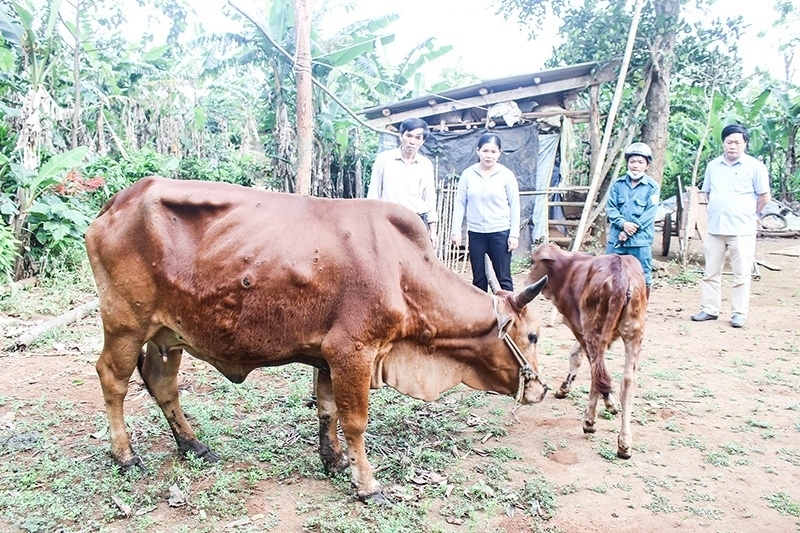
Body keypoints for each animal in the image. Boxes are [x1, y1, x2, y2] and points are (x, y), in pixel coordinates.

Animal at [86, 177, 552, 500]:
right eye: (532, 335)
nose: (542, 391)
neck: (402, 272)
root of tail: (116, 203)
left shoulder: (328, 357)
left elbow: (327, 410)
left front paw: (334, 460)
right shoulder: (353, 352)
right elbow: (355, 421)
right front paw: (367, 483)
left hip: (168, 335)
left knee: (162, 383)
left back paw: (194, 445)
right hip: (126, 324)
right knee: (112, 379)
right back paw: (125, 455)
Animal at [524, 242, 648, 458]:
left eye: (533, 261)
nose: (525, 282)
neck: (568, 270)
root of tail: (620, 273)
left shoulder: (578, 326)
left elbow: (579, 358)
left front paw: (607, 404)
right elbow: (576, 355)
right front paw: (564, 388)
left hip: (594, 328)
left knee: (597, 372)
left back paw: (590, 421)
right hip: (634, 334)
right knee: (627, 381)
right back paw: (624, 444)